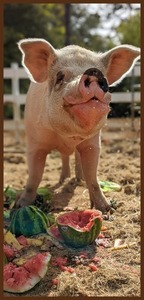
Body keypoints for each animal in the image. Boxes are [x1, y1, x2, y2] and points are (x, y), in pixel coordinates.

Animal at [15, 38, 140, 213]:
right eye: (60, 77)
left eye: (104, 77)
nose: (93, 72)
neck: (67, 136)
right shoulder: (34, 142)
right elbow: (34, 176)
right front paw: (21, 206)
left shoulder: (93, 143)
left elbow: (93, 177)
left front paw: (106, 209)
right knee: (64, 158)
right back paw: (64, 179)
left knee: (76, 159)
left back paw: (78, 179)